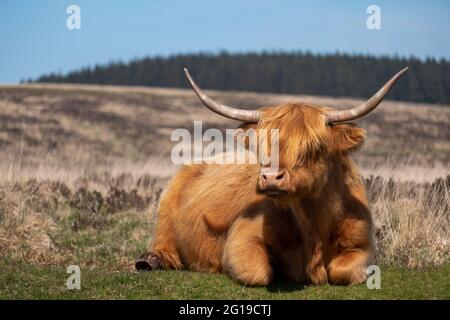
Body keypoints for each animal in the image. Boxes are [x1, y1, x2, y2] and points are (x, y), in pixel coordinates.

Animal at [134, 67, 408, 284]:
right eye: (263, 145)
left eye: (314, 147)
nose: (270, 178)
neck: (314, 222)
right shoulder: (242, 237)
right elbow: (257, 272)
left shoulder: (363, 245)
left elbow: (343, 271)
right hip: (165, 214)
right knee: (164, 244)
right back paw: (150, 261)